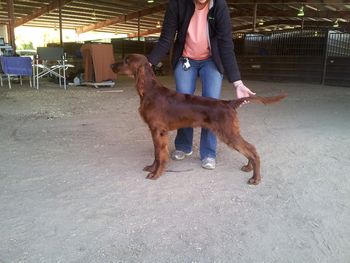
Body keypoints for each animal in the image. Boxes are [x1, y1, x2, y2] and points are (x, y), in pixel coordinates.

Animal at [110, 54, 286, 186]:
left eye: (126, 60)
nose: (111, 65)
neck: (149, 91)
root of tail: (228, 103)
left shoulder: (158, 131)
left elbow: (160, 155)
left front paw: (156, 173)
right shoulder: (155, 131)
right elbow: (156, 153)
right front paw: (152, 168)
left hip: (228, 133)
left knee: (252, 149)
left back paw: (255, 178)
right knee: (249, 149)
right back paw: (249, 168)